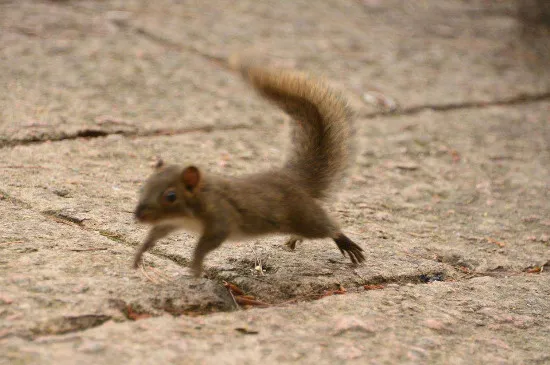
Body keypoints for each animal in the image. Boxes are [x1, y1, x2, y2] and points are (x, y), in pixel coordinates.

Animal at [133, 56, 366, 276]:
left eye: (171, 196)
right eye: (143, 186)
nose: (138, 216)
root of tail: (289, 178)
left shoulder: (221, 218)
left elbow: (205, 245)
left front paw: (196, 267)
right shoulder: (171, 223)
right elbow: (156, 233)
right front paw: (139, 254)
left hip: (304, 216)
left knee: (329, 227)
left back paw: (345, 243)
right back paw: (294, 240)